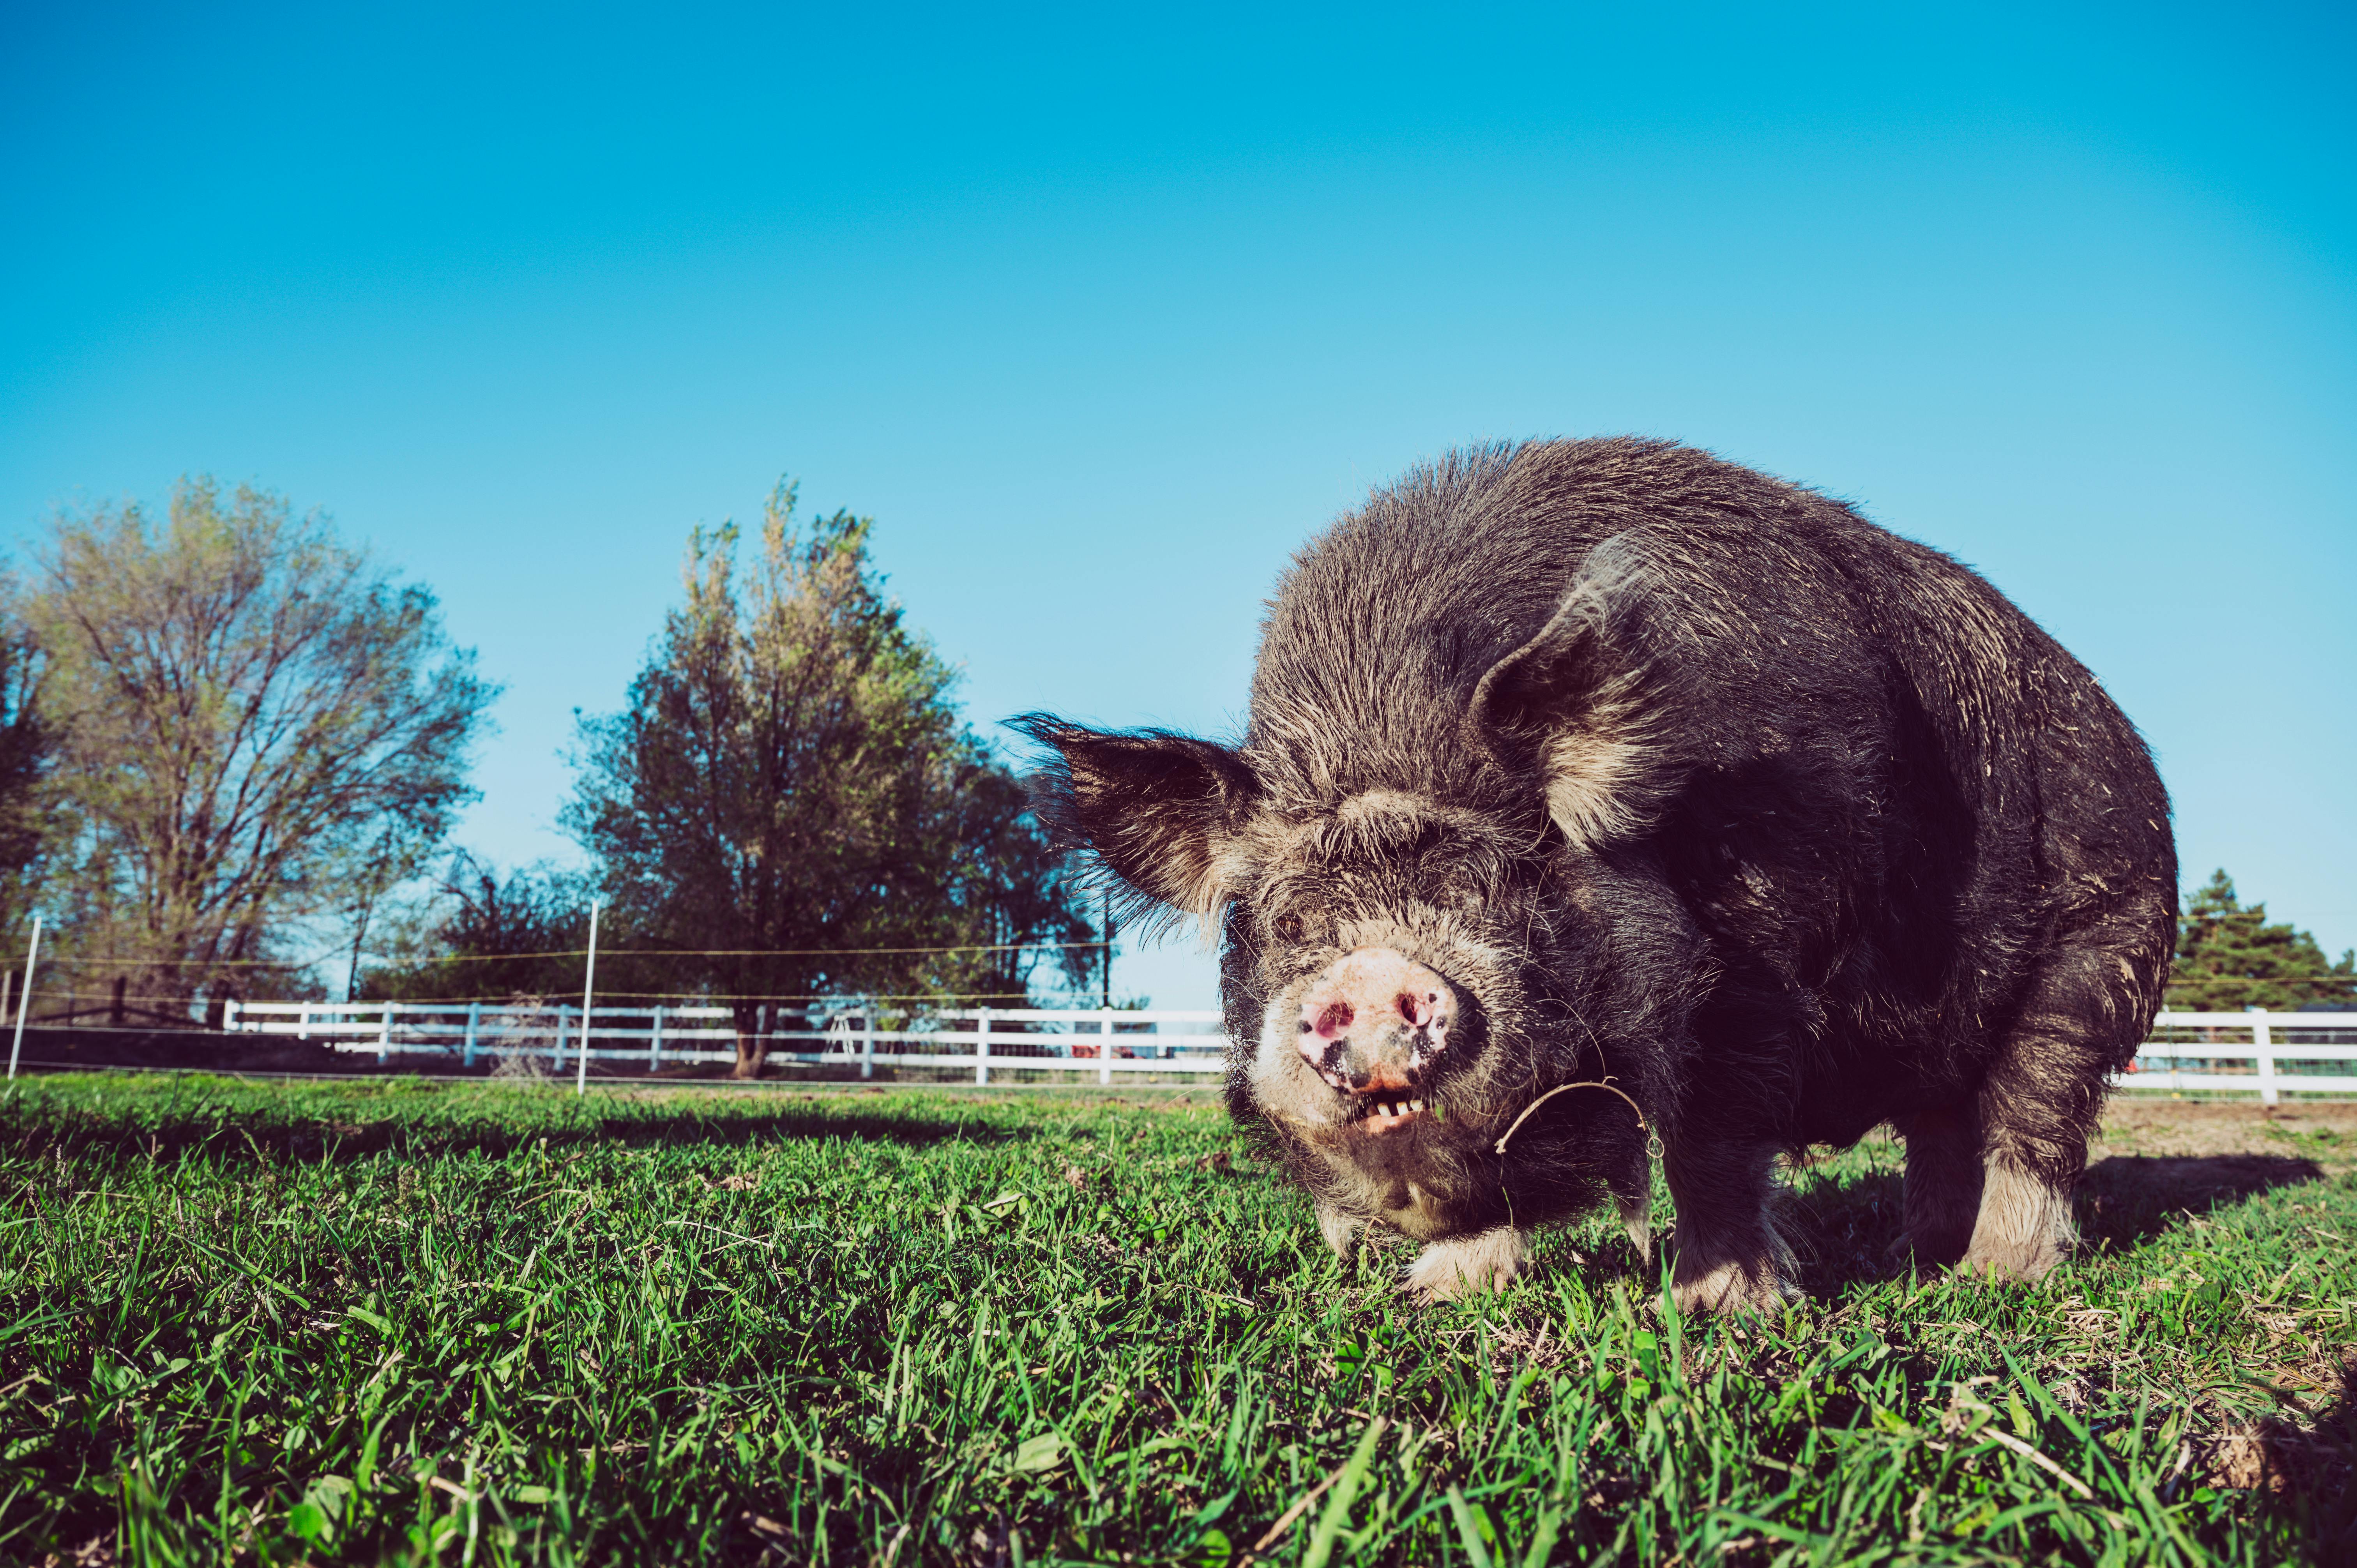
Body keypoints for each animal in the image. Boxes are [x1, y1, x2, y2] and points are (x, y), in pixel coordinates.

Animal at [1013, 436, 2168, 1311]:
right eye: (1292, 920)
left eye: (1491, 882)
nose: (1368, 980)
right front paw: (1439, 1299)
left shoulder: (1764, 965)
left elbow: (1716, 1139)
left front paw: (1719, 1311)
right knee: (1945, 1123)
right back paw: (1916, 1259)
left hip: (2102, 945)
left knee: (2035, 1116)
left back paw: (1994, 1280)